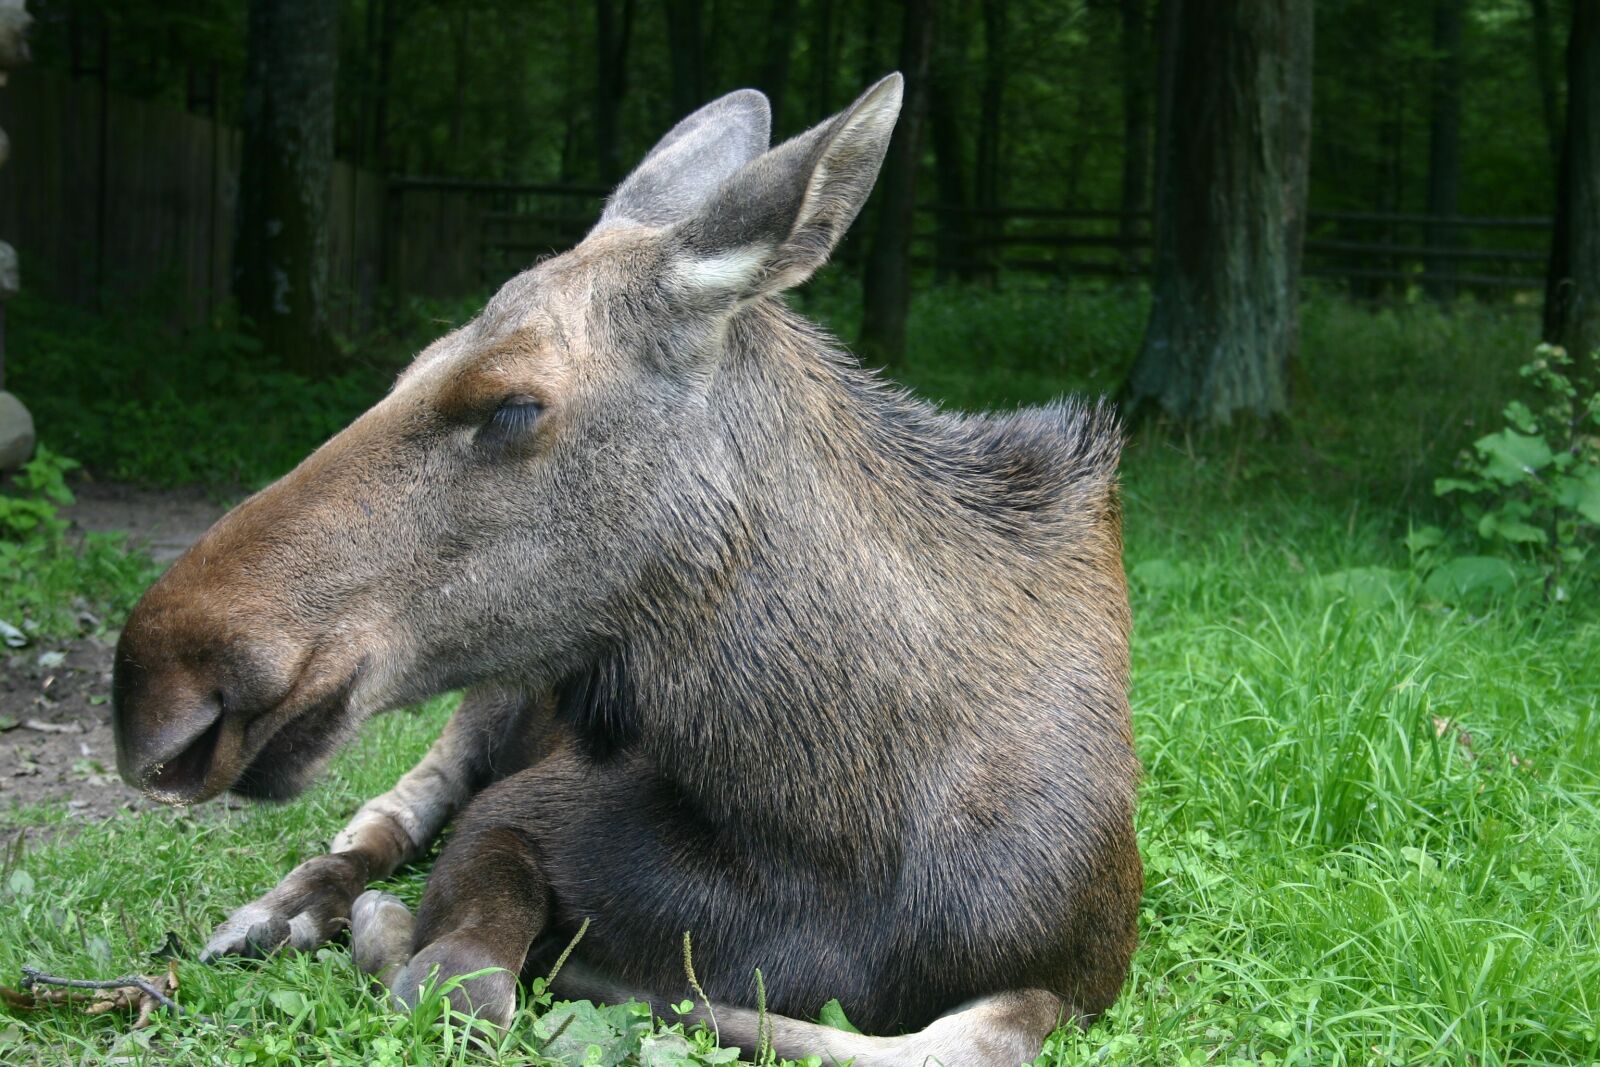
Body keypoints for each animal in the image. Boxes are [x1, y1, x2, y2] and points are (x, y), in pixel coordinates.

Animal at [112, 74, 1142, 1066]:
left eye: (511, 403)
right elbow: (459, 976)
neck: (821, 826)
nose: (152, 686)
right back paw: (280, 910)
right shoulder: (512, 810)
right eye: (409, 367)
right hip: (485, 707)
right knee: (381, 818)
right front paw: (415, 932)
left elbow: (966, 1038)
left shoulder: (1083, 972)